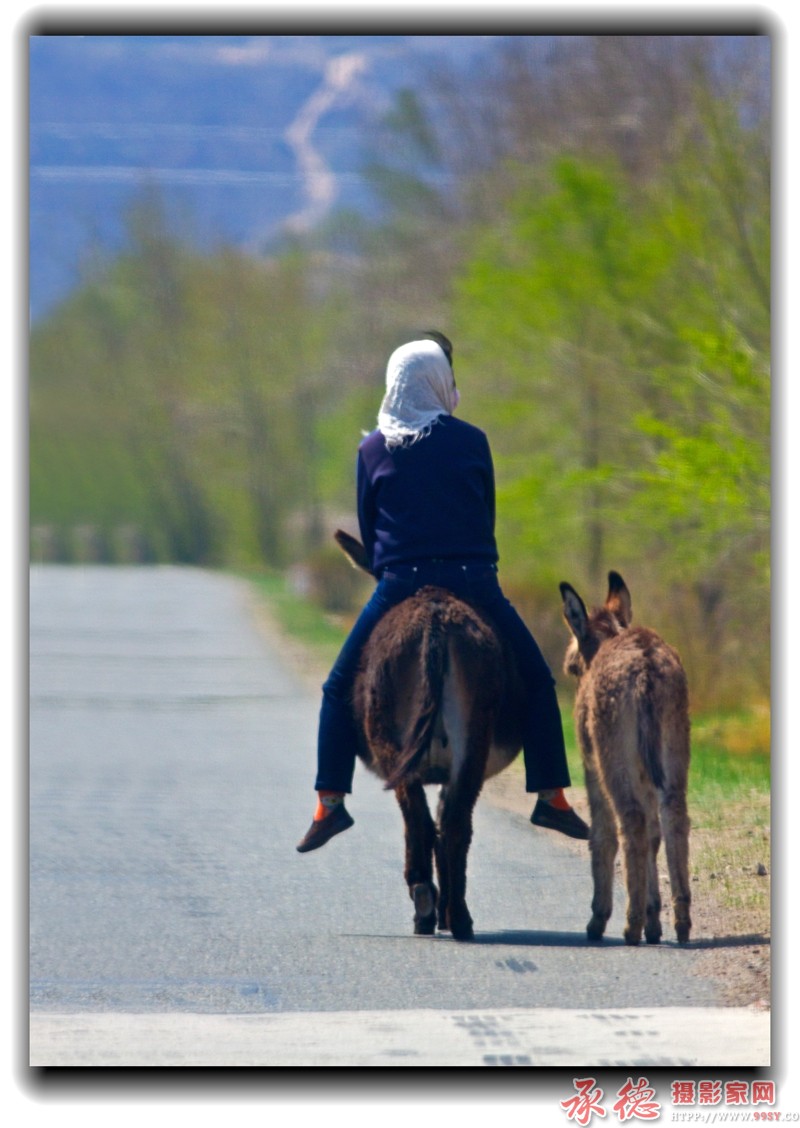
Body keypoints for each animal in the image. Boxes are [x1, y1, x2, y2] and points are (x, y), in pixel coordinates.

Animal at [559, 568, 690, 947]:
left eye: (574, 669)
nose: (571, 667)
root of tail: (646, 666)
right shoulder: (646, 773)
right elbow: (654, 836)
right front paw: (654, 919)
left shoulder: (590, 767)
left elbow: (601, 835)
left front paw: (600, 918)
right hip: (673, 752)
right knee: (673, 818)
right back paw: (681, 922)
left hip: (612, 759)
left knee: (629, 821)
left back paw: (629, 926)